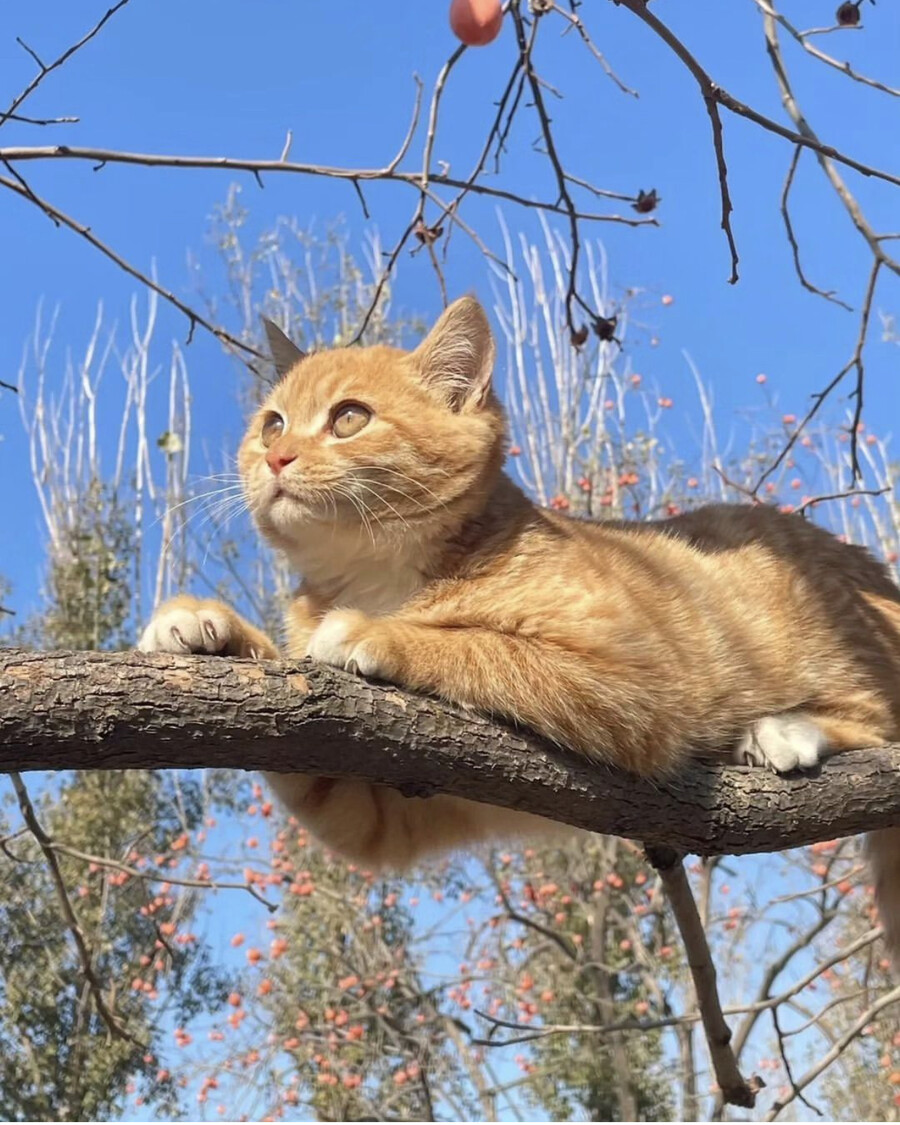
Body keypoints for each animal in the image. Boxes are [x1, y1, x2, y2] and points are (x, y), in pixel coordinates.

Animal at [137, 297, 900, 949]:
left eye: (349, 417)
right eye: (271, 422)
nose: (275, 455)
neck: (379, 576)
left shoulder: (641, 682)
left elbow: (484, 646)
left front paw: (371, 632)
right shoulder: (379, 807)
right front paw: (208, 624)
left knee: (875, 717)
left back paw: (785, 729)